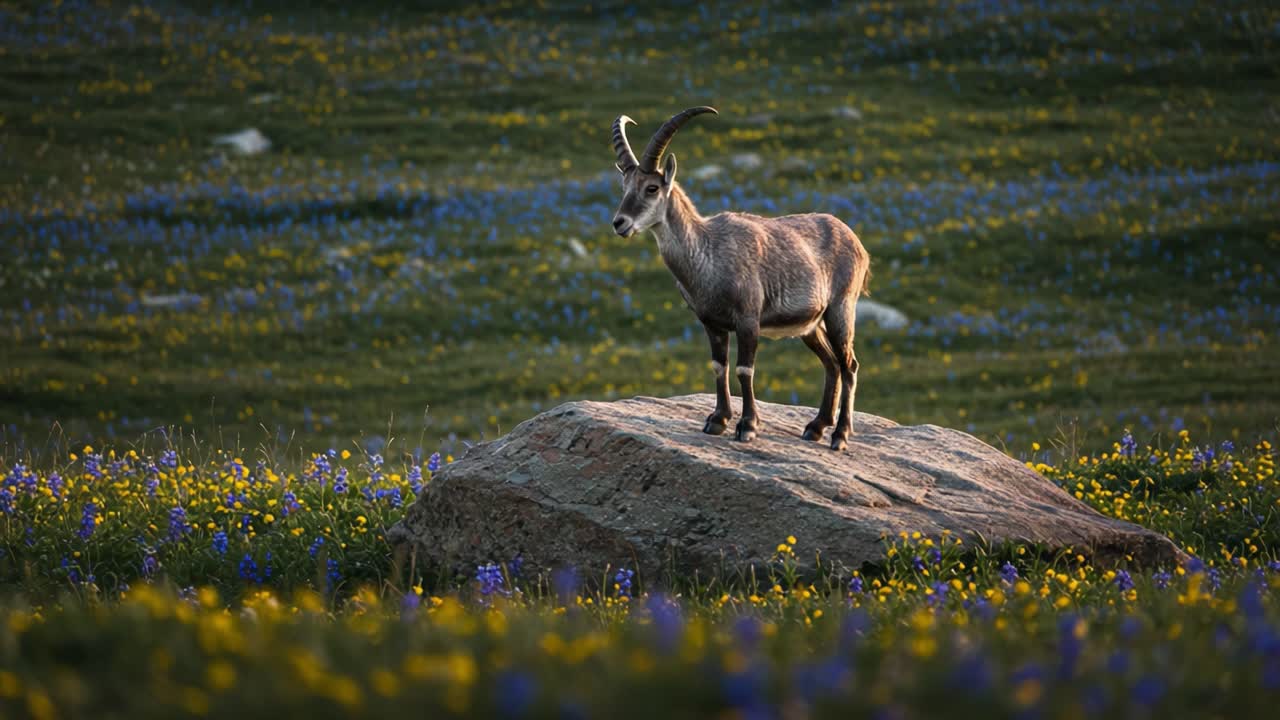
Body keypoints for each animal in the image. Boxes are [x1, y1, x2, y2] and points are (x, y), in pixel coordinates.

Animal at [610, 107, 871, 450]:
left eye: (651, 188)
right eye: (624, 187)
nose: (620, 223)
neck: (707, 253)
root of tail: (856, 241)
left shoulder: (748, 318)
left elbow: (745, 369)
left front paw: (747, 426)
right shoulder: (712, 323)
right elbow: (719, 366)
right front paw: (717, 421)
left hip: (840, 308)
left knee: (848, 364)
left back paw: (840, 435)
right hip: (810, 325)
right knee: (830, 363)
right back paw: (816, 427)